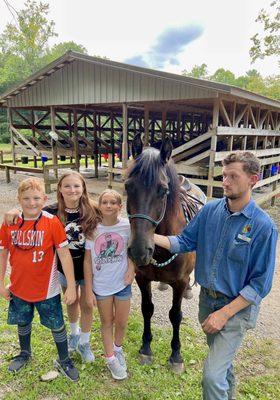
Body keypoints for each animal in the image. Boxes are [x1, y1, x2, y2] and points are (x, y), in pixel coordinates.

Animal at [126, 136, 205, 374]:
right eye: (127, 186)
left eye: (162, 190)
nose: (139, 251)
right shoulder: (142, 278)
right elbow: (147, 309)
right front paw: (145, 348)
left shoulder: (179, 282)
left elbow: (175, 316)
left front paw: (176, 355)